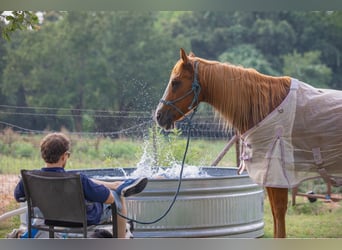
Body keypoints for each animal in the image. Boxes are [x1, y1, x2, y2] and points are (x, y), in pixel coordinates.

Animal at [155, 47, 342, 237]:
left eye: (175, 82)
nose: (159, 116)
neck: (267, 108)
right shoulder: (270, 176)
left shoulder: (276, 176)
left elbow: (279, 216)